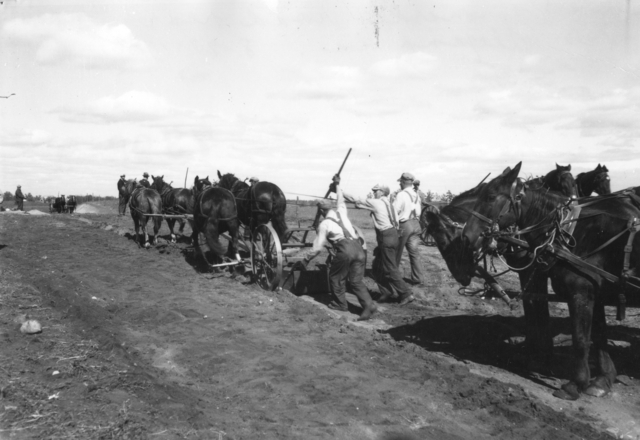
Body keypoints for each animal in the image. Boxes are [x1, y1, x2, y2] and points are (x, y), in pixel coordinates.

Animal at [458, 163, 640, 400]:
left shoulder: (580, 293)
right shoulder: (595, 294)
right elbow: (598, 335)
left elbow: (580, 338)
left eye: (490, 197)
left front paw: (575, 383)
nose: (466, 236)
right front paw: (602, 380)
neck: (574, 233)